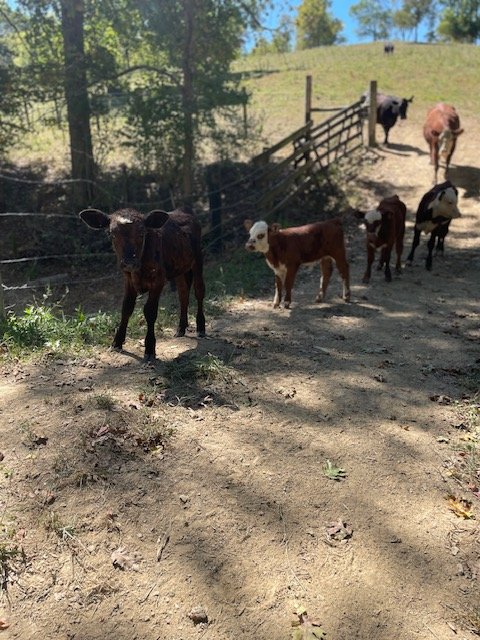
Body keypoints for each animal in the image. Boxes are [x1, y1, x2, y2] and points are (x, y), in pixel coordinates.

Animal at [79, 206, 206, 361]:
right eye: (112, 234)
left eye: (141, 233)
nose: (129, 263)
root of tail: (185, 211)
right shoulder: (128, 280)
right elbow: (126, 308)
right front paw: (117, 342)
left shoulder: (158, 281)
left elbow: (150, 311)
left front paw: (150, 348)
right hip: (180, 268)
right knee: (183, 294)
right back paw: (181, 328)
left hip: (198, 259)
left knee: (199, 291)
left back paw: (201, 327)